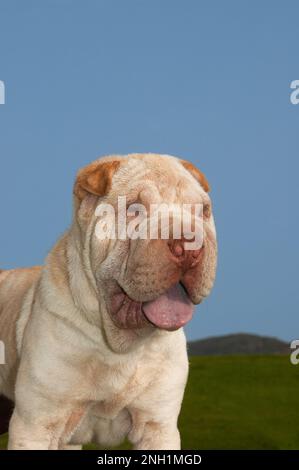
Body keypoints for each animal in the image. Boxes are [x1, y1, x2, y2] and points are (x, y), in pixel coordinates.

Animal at [0, 153, 217, 448]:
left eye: (203, 211)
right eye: (135, 209)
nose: (190, 245)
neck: (120, 349)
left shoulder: (157, 426)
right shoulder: (37, 424)